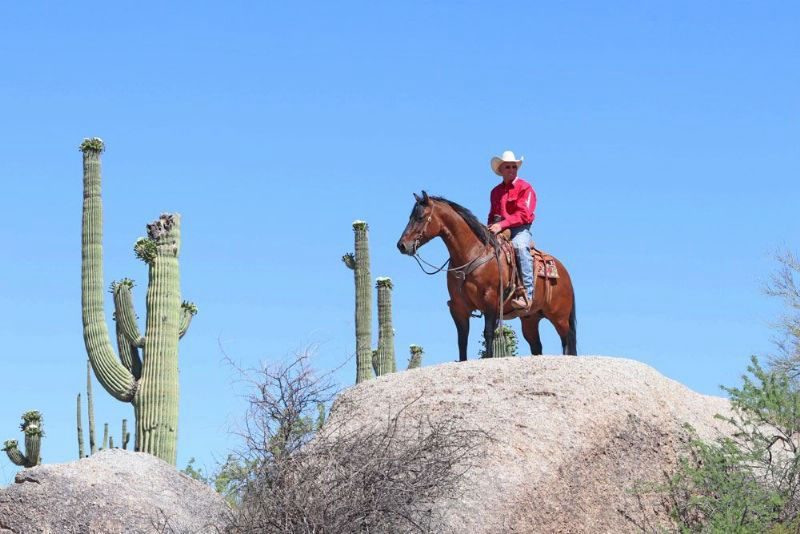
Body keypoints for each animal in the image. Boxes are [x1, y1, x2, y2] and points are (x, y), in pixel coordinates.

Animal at [396, 191, 577, 359]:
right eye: (410, 216)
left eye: (420, 217)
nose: (402, 245)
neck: (472, 253)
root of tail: (564, 272)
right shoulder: (458, 308)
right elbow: (462, 339)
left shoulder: (490, 302)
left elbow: (488, 333)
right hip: (530, 319)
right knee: (537, 346)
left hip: (560, 317)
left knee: (567, 341)